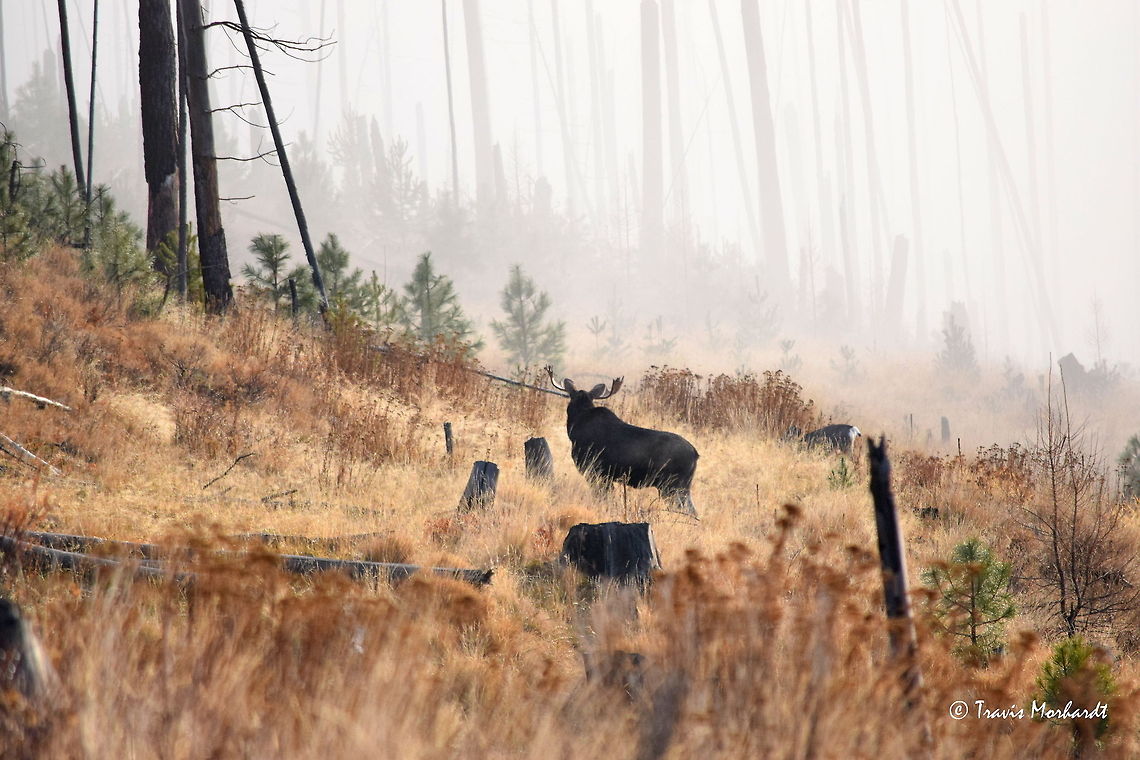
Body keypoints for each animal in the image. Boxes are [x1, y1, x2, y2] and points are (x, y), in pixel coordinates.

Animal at [547, 368, 699, 517]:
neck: (576, 427)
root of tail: (696, 454)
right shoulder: (605, 475)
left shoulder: (593, 470)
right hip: (680, 486)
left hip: (673, 484)